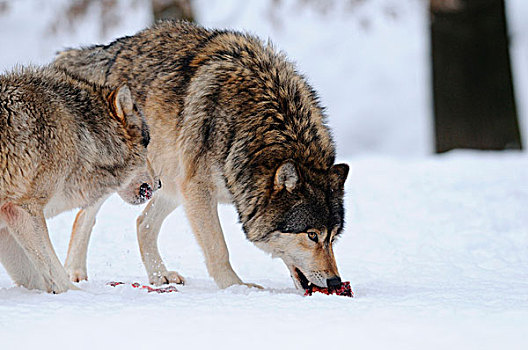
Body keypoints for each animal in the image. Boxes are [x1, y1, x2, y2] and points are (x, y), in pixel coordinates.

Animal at [0, 65, 157, 292]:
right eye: (147, 143)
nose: (160, 183)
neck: (80, 134)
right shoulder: (25, 209)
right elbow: (56, 272)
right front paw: (78, 295)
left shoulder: (6, 223)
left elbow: (35, 278)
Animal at [54, 20, 350, 292]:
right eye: (311, 235)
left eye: (332, 237)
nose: (335, 281)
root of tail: (110, 50)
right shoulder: (198, 190)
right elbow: (218, 248)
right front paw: (236, 288)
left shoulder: (192, 190)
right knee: (84, 217)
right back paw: (75, 272)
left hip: (168, 184)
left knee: (141, 223)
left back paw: (159, 276)